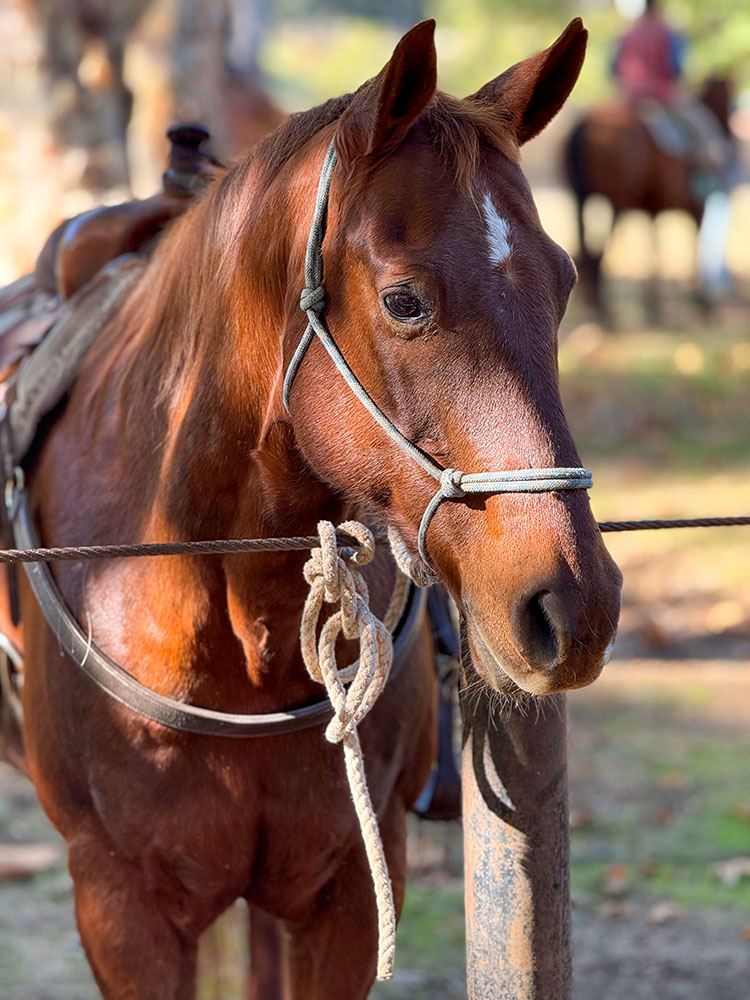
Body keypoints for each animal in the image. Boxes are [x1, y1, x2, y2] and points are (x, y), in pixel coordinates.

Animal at [565, 76, 733, 319]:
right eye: (728, 102)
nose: (730, 136)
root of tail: (585, 122)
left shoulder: (652, 209)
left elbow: (653, 245)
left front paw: (653, 303)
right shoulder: (697, 209)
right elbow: (693, 244)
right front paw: (701, 302)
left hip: (582, 197)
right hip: (619, 200)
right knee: (602, 246)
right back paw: (602, 307)